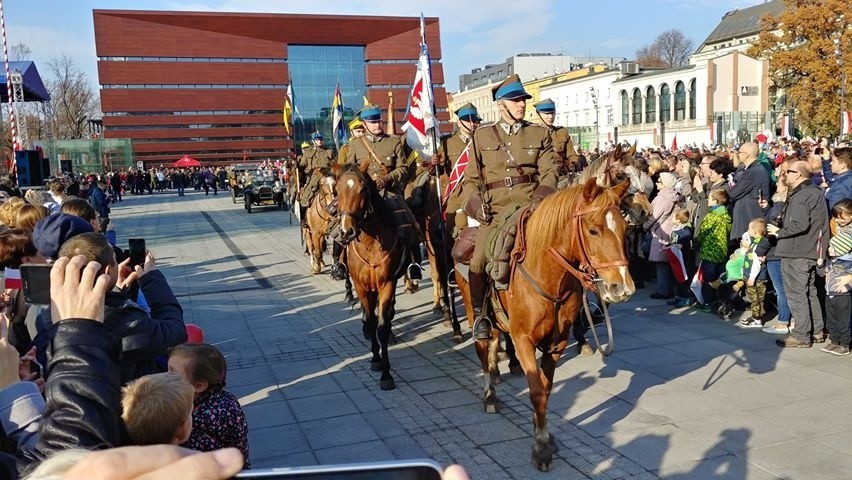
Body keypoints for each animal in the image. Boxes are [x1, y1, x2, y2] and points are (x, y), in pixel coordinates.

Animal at [336, 165, 406, 390]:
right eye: (337, 190)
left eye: (363, 190)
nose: (346, 231)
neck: (371, 243)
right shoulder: (361, 285)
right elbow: (372, 320)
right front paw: (376, 359)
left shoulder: (387, 283)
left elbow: (382, 326)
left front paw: (386, 374)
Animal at [456, 178, 636, 470]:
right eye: (593, 230)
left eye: (624, 227)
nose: (622, 287)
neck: (549, 276)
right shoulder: (523, 341)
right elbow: (537, 391)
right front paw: (540, 447)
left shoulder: (556, 343)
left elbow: (546, 387)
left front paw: (542, 430)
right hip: (474, 310)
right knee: (482, 348)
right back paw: (490, 394)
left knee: (493, 342)